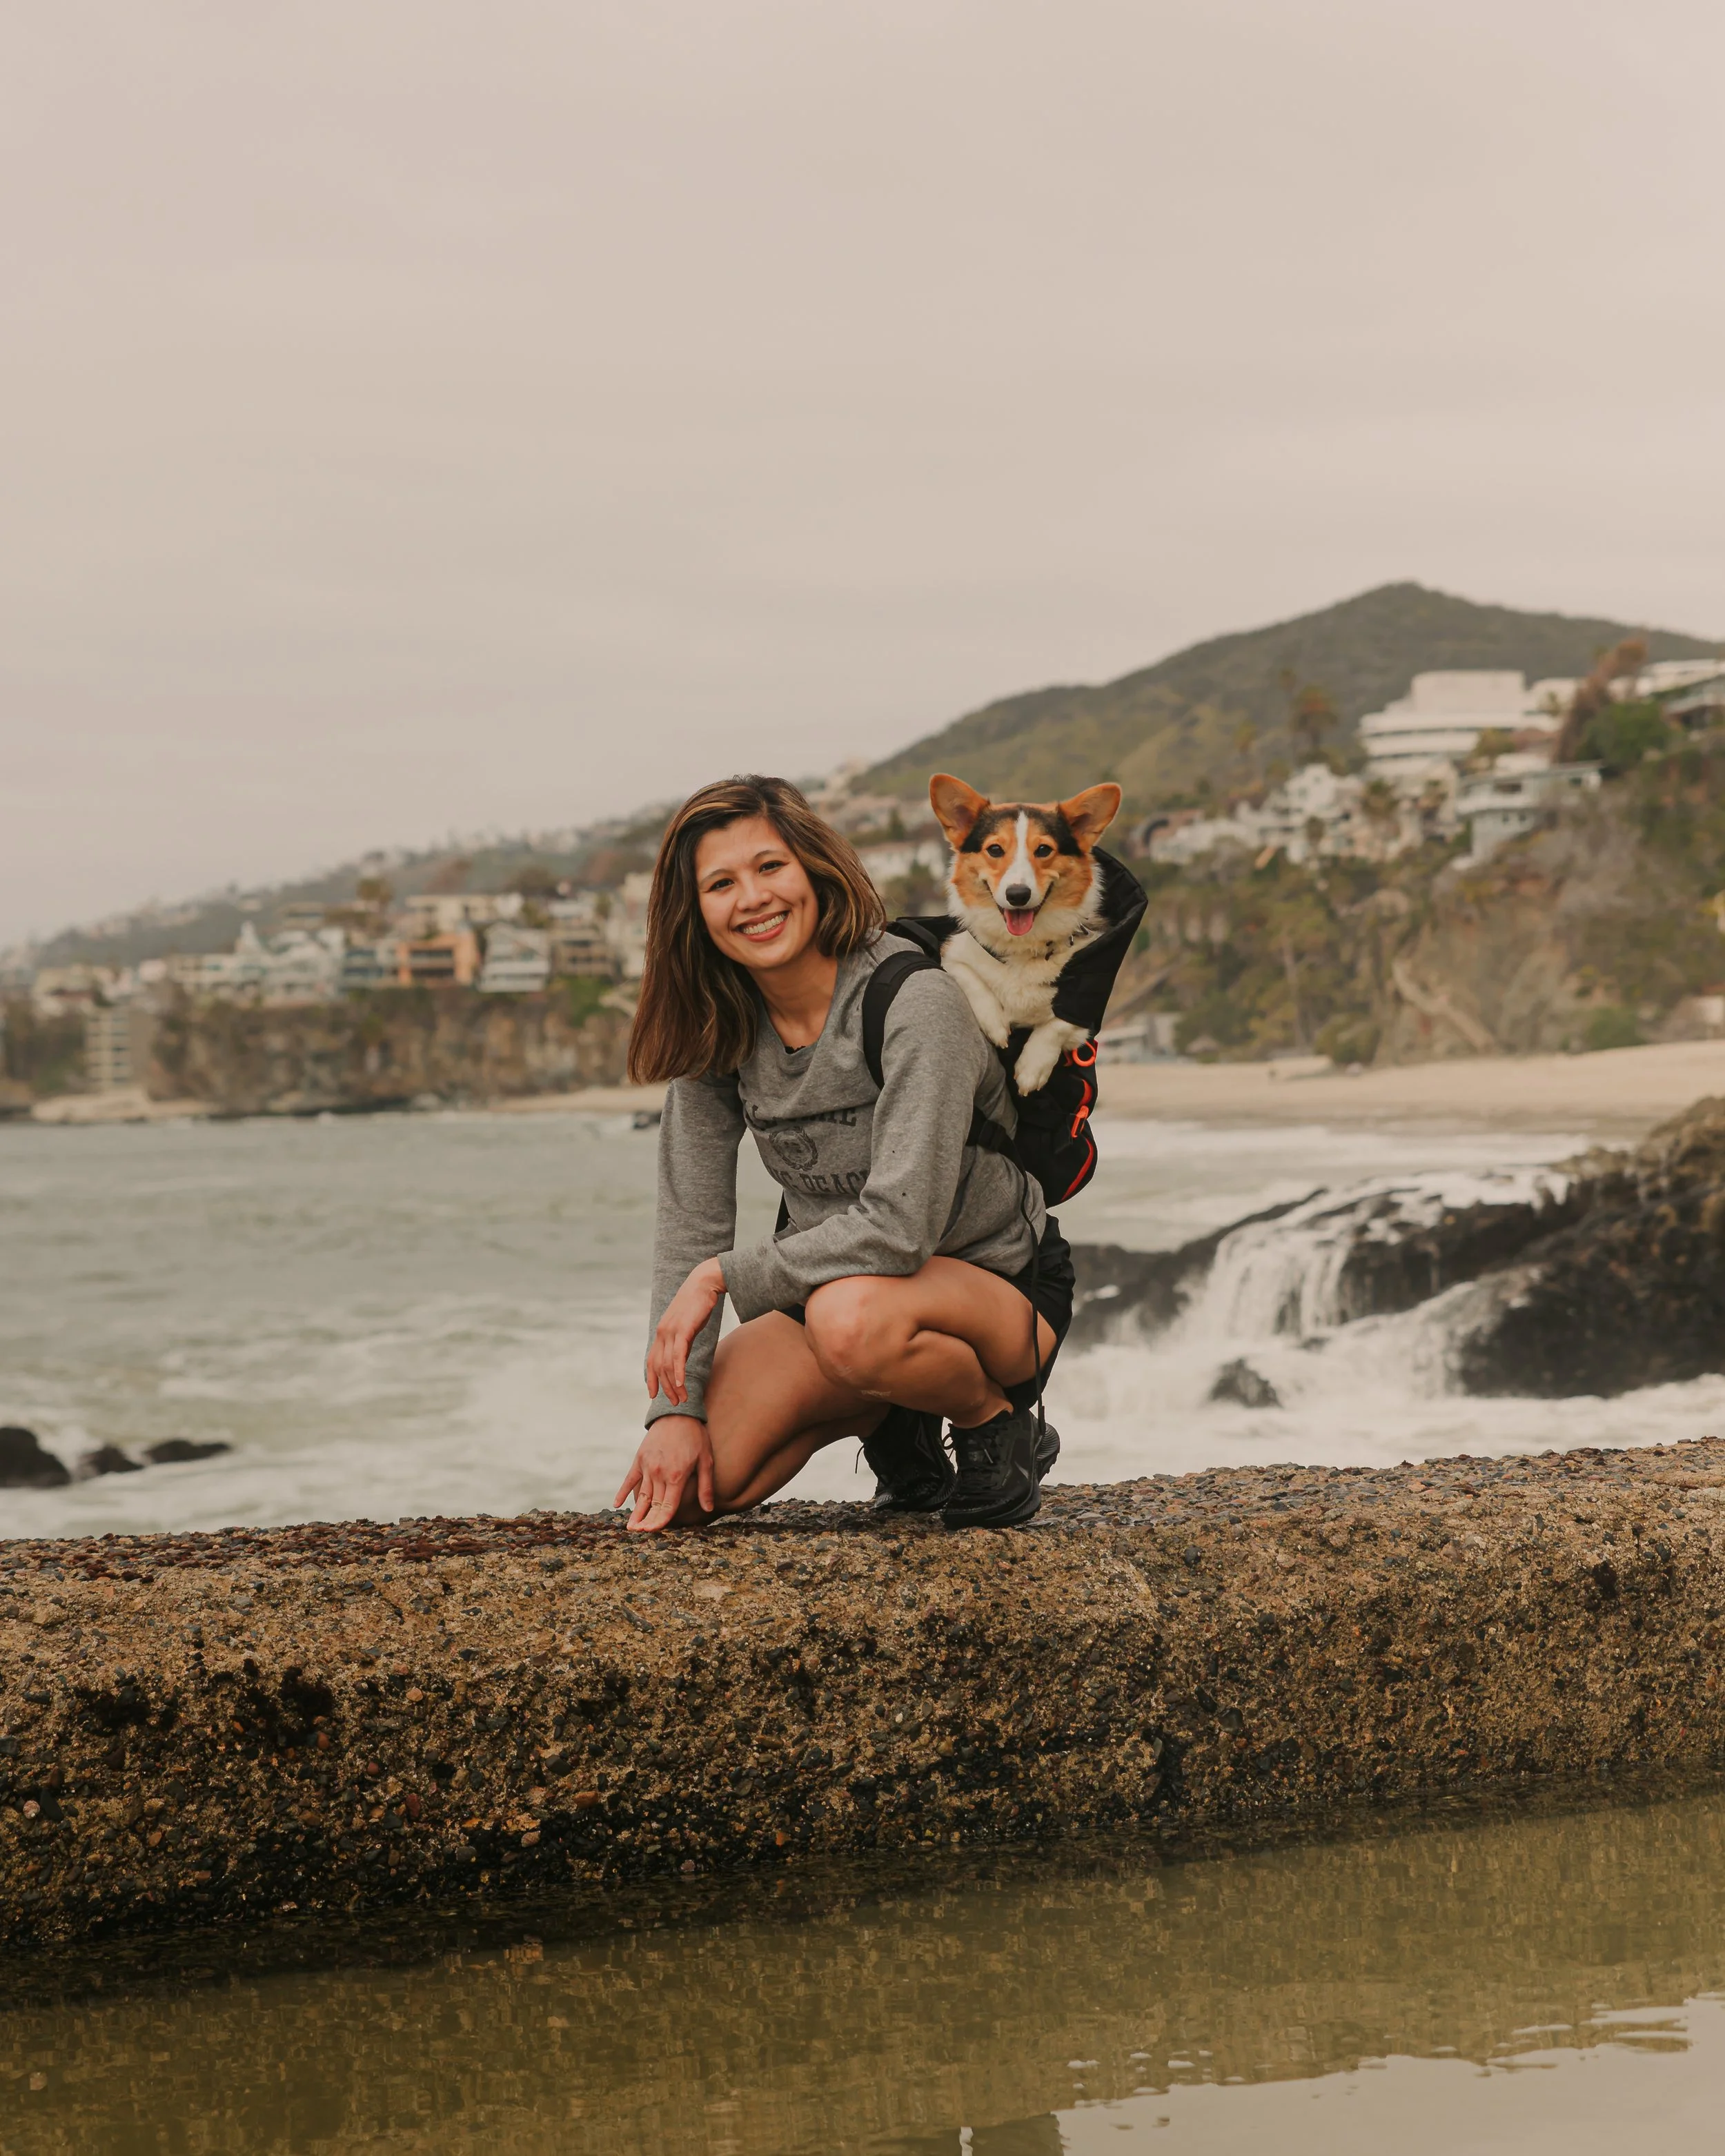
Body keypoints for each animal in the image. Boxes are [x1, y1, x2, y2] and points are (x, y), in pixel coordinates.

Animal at [928, 773, 1124, 1095]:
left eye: (1043, 850)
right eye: (995, 850)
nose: (1018, 895)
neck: (1024, 947)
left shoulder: (1086, 1011)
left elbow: (1057, 1024)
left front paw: (1033, 1069)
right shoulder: (954, 953)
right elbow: (970, 980)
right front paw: (995, 1024)